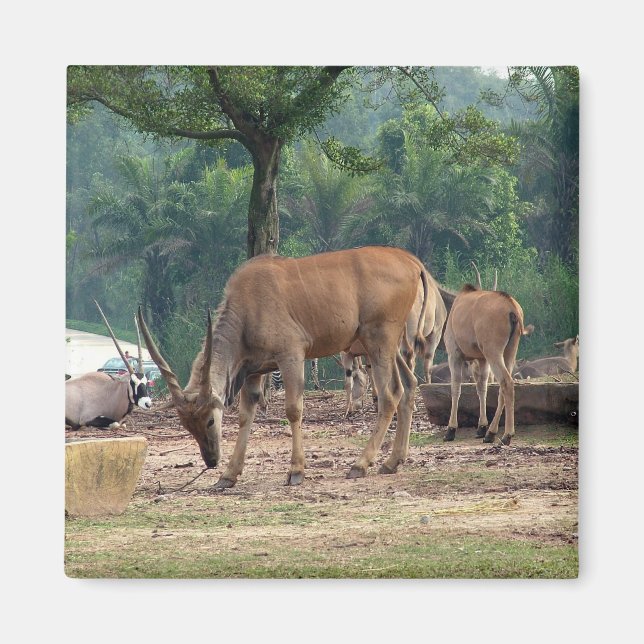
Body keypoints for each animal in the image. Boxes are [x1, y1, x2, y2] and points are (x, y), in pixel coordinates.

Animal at [137, 246, 429, 488]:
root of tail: (411, 262)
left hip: (378, 341)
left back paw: (361, 464)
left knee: (390, 395)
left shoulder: (291, 355)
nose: (211, 460)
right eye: (187, 425)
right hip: (388, 346)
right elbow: (245, 415)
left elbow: (293, 409)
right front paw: (228, 475)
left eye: (210, 419)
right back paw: (392, 461)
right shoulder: (253, 371)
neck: (248, 308)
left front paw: (296, 471)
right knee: (408, 386)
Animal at [443, 284, 528, 445]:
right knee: (503, 387)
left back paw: (506, 435)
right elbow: (482, 388)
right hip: (509, 352)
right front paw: (481, 427)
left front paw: (450, 430)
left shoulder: (454, 354)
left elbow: (455, 388)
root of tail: (512, 307)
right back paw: (490, 433)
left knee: (507, 382)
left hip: (493, 352)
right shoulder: (482, 360)